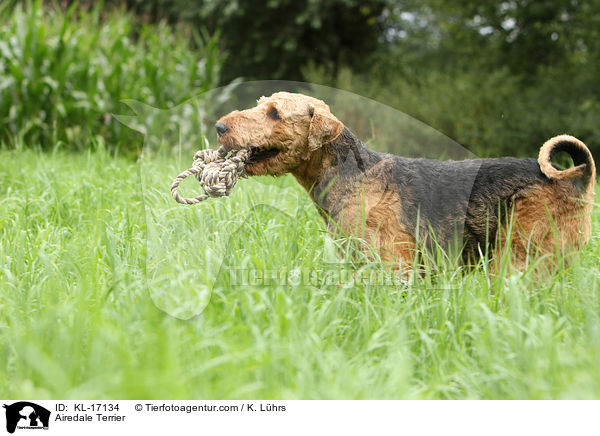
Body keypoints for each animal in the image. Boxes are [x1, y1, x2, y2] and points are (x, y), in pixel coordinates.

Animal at [216, 91, 596, 270]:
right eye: (261, 105)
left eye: (274, 113)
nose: (220, 126)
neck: (353, 175)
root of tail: (581, 179)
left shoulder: (391, 262)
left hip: (521, 255)